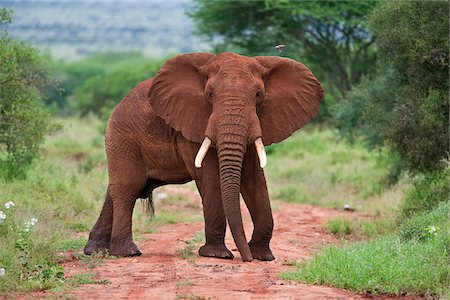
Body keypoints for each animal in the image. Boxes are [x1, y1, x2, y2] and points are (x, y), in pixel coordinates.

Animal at [83, 52, 324, 262]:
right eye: (209, 95)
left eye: (258, 95)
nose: (245, 258)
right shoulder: (193, 125)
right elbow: (211, 178)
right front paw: (218, 255)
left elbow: (254, 180)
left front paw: (263, 257)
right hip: (121, 136)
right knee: (128, 187)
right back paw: (127, 253)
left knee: (116, 189)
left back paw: (95, 251)